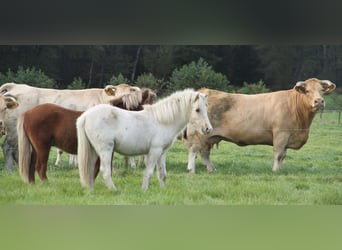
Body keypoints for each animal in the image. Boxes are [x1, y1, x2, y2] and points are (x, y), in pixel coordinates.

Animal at [16, 89, 154, 183]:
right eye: (144, 106)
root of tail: (27, 113)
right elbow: (102, 168)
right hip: (43, 147)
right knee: (40, 167)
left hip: (35, 148)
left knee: (31, 166)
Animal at [76, 89, 212, 190]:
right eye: (197, 110)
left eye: (206, 108)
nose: (208, 129)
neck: (162, 121)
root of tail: (86, 116)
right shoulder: (154, 151)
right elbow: (149, 172)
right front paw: (144, 190)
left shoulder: (162, 153)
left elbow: (162, 174)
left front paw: (163, 190)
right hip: (105, 150)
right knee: (105, 171)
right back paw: (114, 190)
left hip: (94, 150)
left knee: (89, 169)